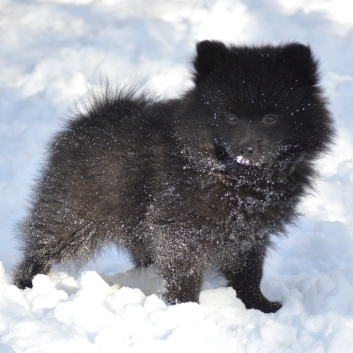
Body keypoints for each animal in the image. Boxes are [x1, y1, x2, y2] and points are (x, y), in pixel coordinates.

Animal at [13, 40, 332, 312]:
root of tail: (92, 116)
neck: (236, 178)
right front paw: (186, 311)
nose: (246, 149)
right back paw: (26, 285)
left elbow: (249, 272)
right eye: (230, 117)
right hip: (74, 211)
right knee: (43, 243)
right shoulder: (182, 228)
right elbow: (186, 273)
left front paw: (258, 306)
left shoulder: (250, 231)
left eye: (271, 118)